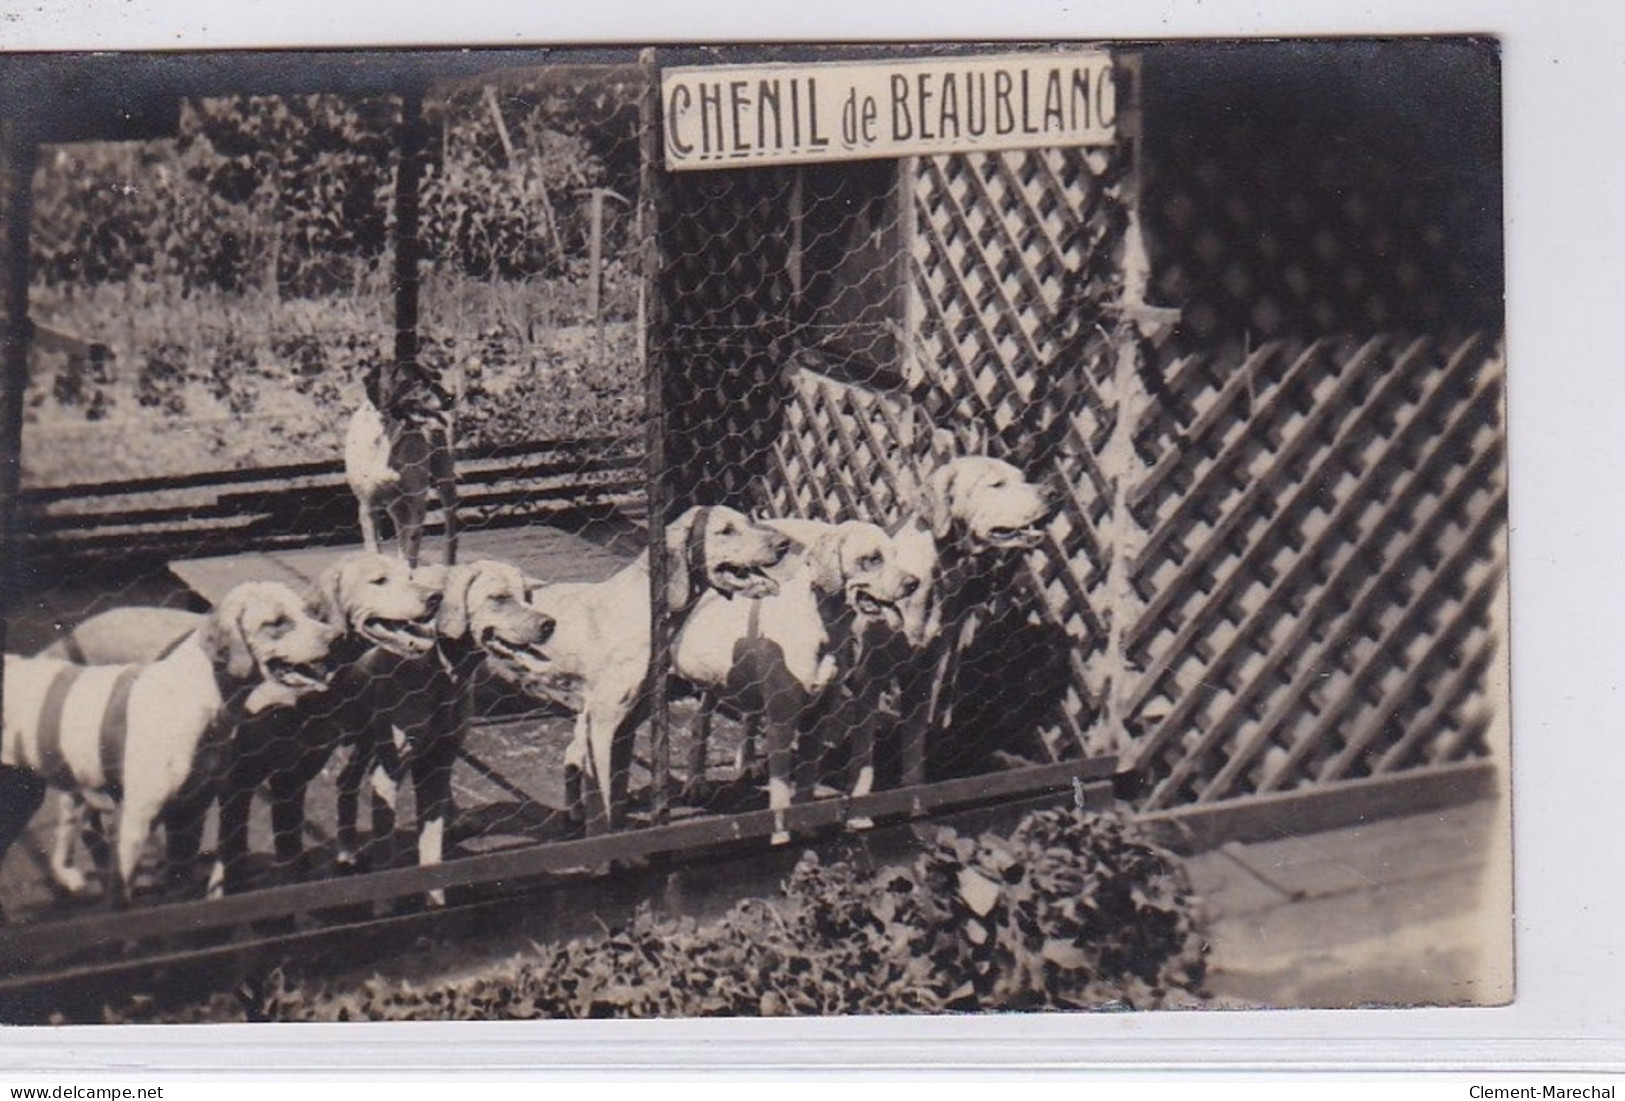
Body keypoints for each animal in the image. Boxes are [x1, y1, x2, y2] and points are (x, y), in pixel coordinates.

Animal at [0, 581, 336, 915]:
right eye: (277, 622)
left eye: (309, 612)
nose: (335, 636)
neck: (196, 692)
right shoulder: (135, 821)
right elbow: (121, 900)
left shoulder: (191, 811)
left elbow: (181, 886)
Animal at [346, 362, 461, 568]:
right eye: (415, 379)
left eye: (435, 376)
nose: (450, 397)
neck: (389, 439)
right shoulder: (367, 506)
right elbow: (374, 549)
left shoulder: (416, 502)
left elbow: (412, 545)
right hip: (396, 505)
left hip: (444, 480)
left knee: (450, 528)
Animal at [520, 509, 793, 837]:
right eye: (726, 530)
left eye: (749, 520)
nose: (785, 543)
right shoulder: (602, 724)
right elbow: (602, 805)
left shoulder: (625, 723)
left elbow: (615, 794)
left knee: (572, 754)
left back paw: (573, 810)